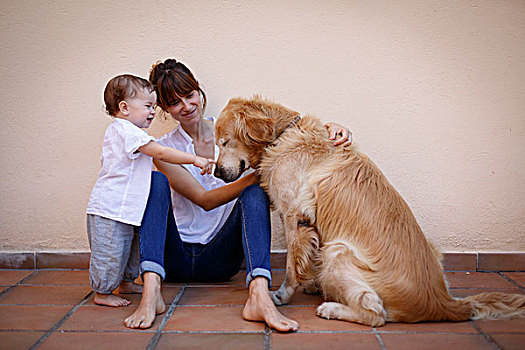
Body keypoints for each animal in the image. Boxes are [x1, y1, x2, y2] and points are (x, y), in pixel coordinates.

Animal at [213, 95, 524, 326]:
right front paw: (310, 282)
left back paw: (331, 308)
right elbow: (306, 258)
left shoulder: (295, 217)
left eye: (224, 142)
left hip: (338, 249)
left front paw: (282, 294)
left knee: (376, 314)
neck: (283, 135)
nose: (215, 173)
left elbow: (292, 264)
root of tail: (444, 302)